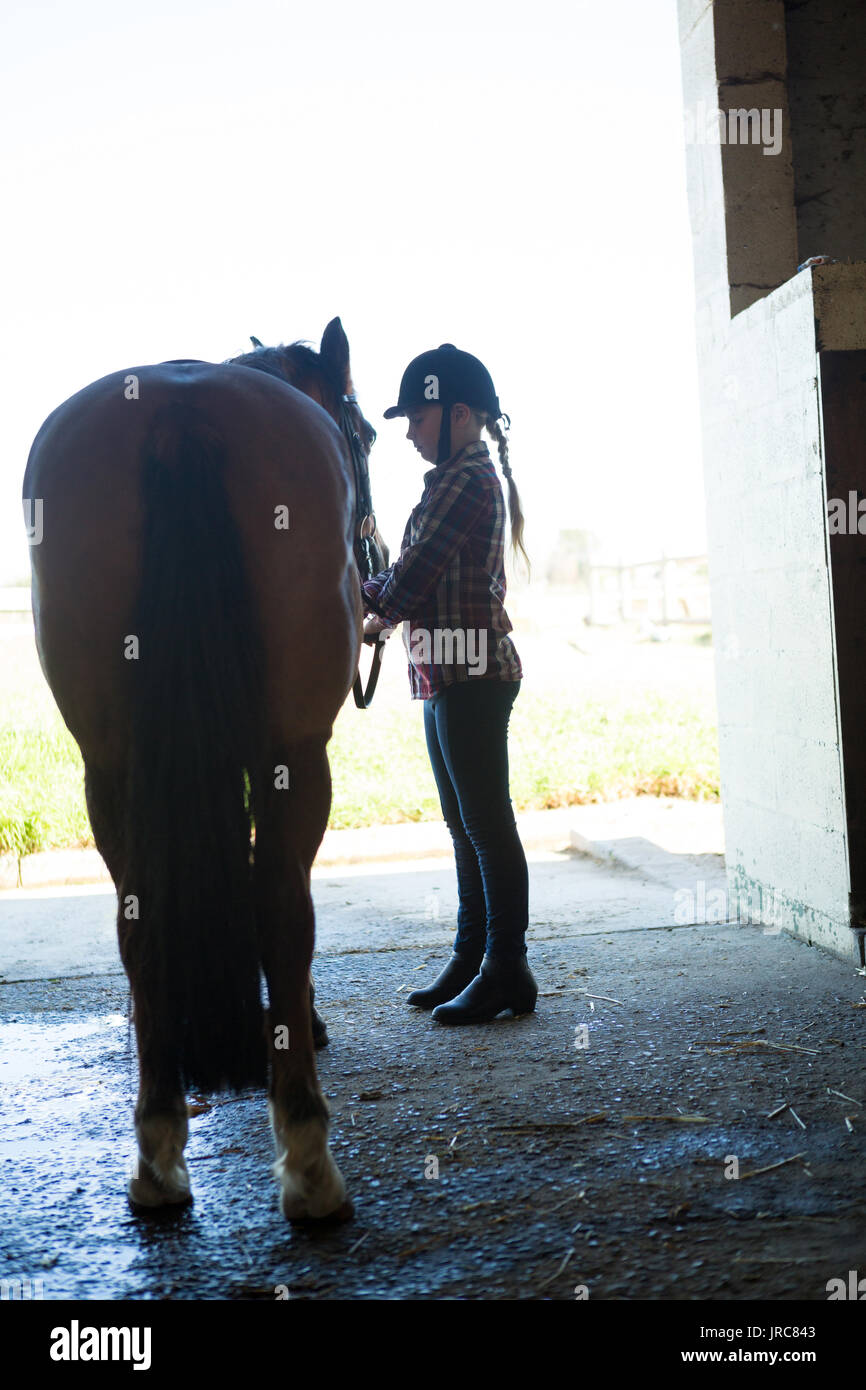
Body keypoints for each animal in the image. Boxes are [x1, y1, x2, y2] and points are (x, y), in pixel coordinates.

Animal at [22, 318, 386, 1221]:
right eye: (364, 434)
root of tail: (178, 415)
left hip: (110, 767)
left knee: (137, 915)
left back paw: (157, 1153)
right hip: (297, 755)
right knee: (284, 911)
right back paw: (309, 1162)